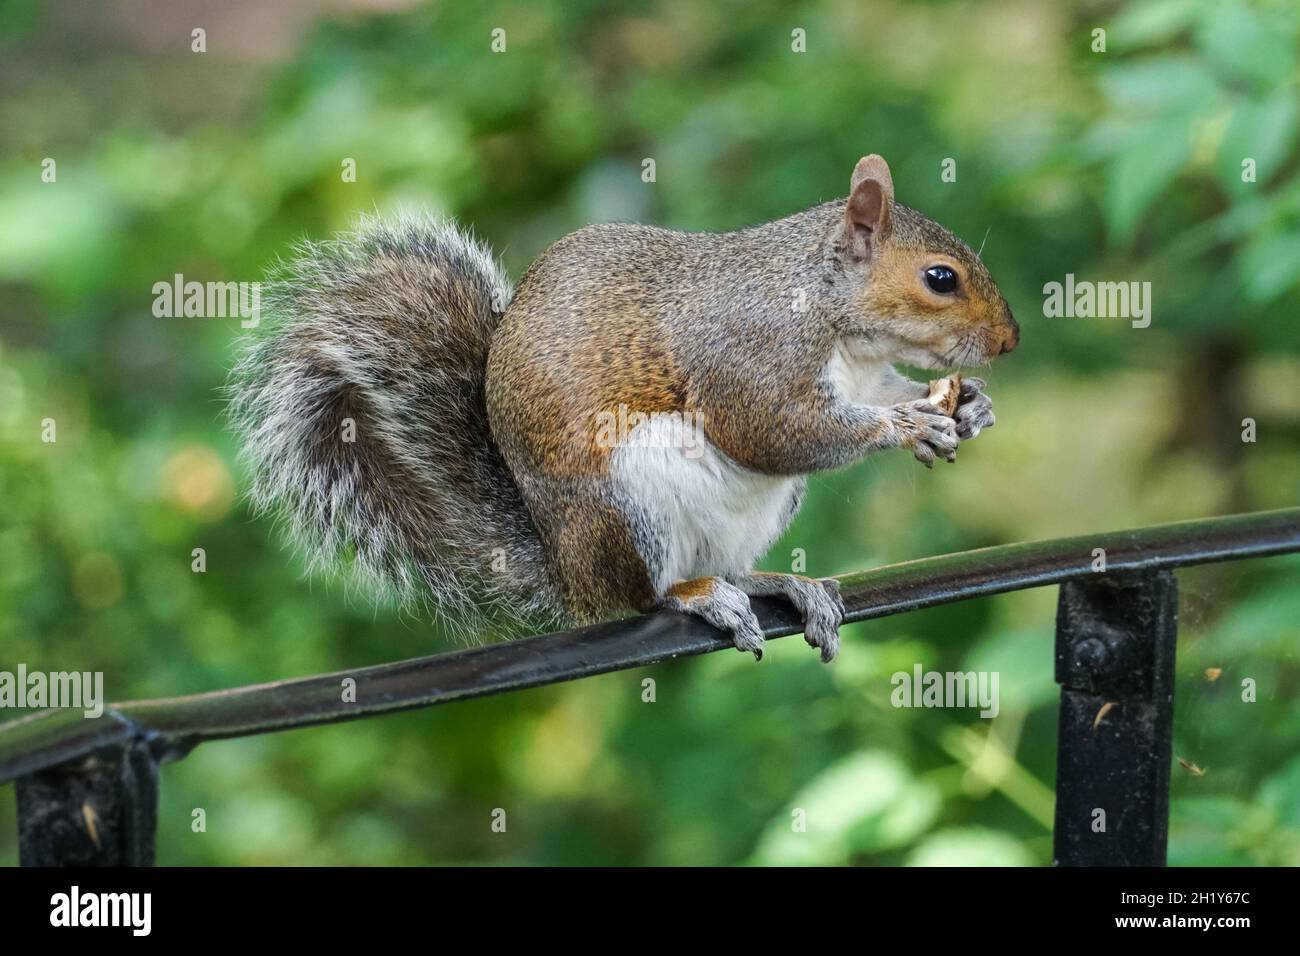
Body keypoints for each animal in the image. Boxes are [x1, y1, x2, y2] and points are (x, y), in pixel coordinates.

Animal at [231, 155, 1013, 665]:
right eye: (939, 279)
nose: (1009, 341)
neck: (833, 314)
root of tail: (567, 572)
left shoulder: (862, 374)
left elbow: (873, 396)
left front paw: (967, 407)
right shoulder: (748, 352)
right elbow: (769, 430)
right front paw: (905, 425)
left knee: (731, 564)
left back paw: (778, 583)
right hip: (630, 500)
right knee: (644, 594)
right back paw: (696, 596)